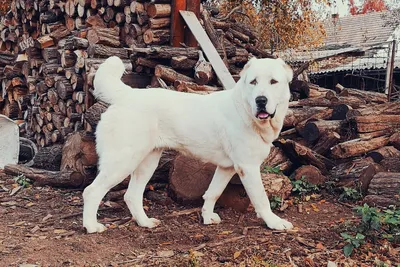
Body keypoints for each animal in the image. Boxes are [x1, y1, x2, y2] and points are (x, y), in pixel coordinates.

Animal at [82, 55, 294, 233]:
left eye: (273, 82)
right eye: (253, 82)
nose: (261, 100)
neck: (245, 110)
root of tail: (128, 95)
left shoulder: (226, 168)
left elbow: (213, 193)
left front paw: (207, 217)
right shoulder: (247, 167)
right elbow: (261, 199)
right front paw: (274, 223)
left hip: (148, 162)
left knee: (131, 195)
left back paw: (145, 223)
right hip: (123, 161)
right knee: (91, 191)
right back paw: (92, 227)